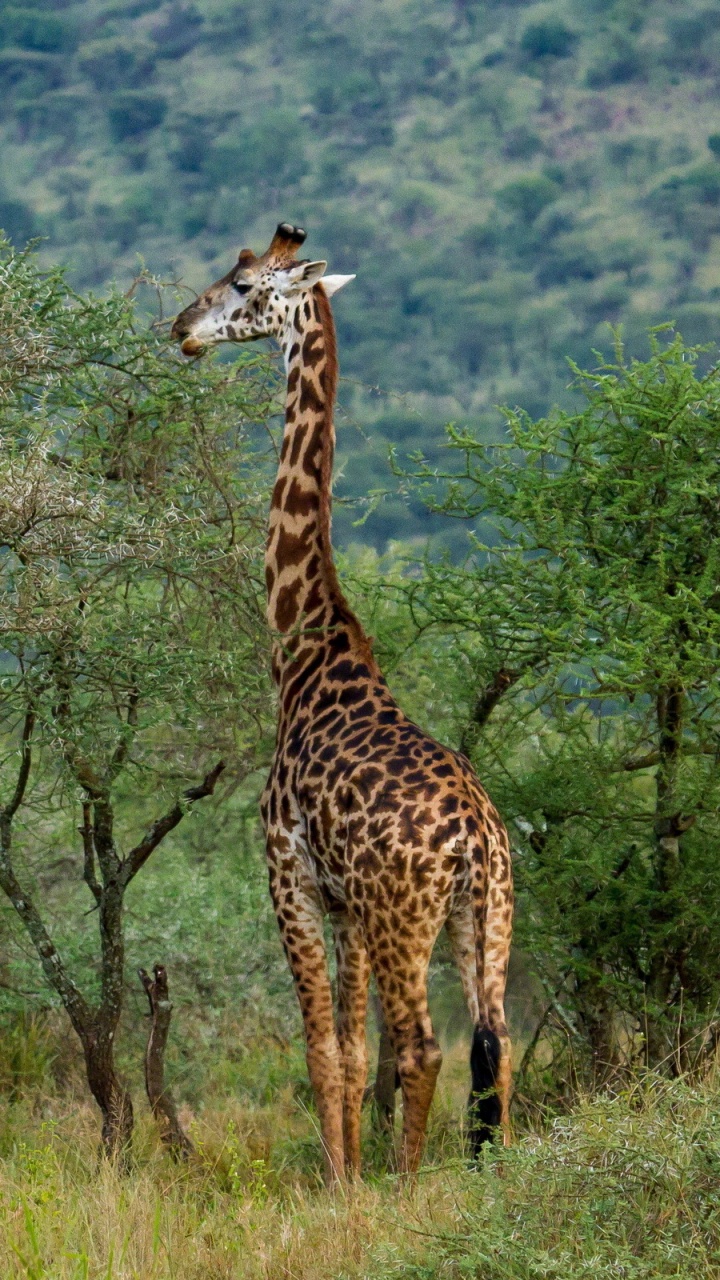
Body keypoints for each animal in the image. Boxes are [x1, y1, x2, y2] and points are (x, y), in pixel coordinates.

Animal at [171, 223, 513, 1185]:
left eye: (242, 284)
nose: (181, 328)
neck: (304, 650)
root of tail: (479, 839)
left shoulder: (286, 873)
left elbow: (323, 1048)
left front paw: (338, 1184)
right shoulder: (345, 906)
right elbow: (355, 1053)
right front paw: (348, 1171)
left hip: (409, 918)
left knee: (427, 1046)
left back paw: (406, 1182)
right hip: (486, 920)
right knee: (496, 1042)